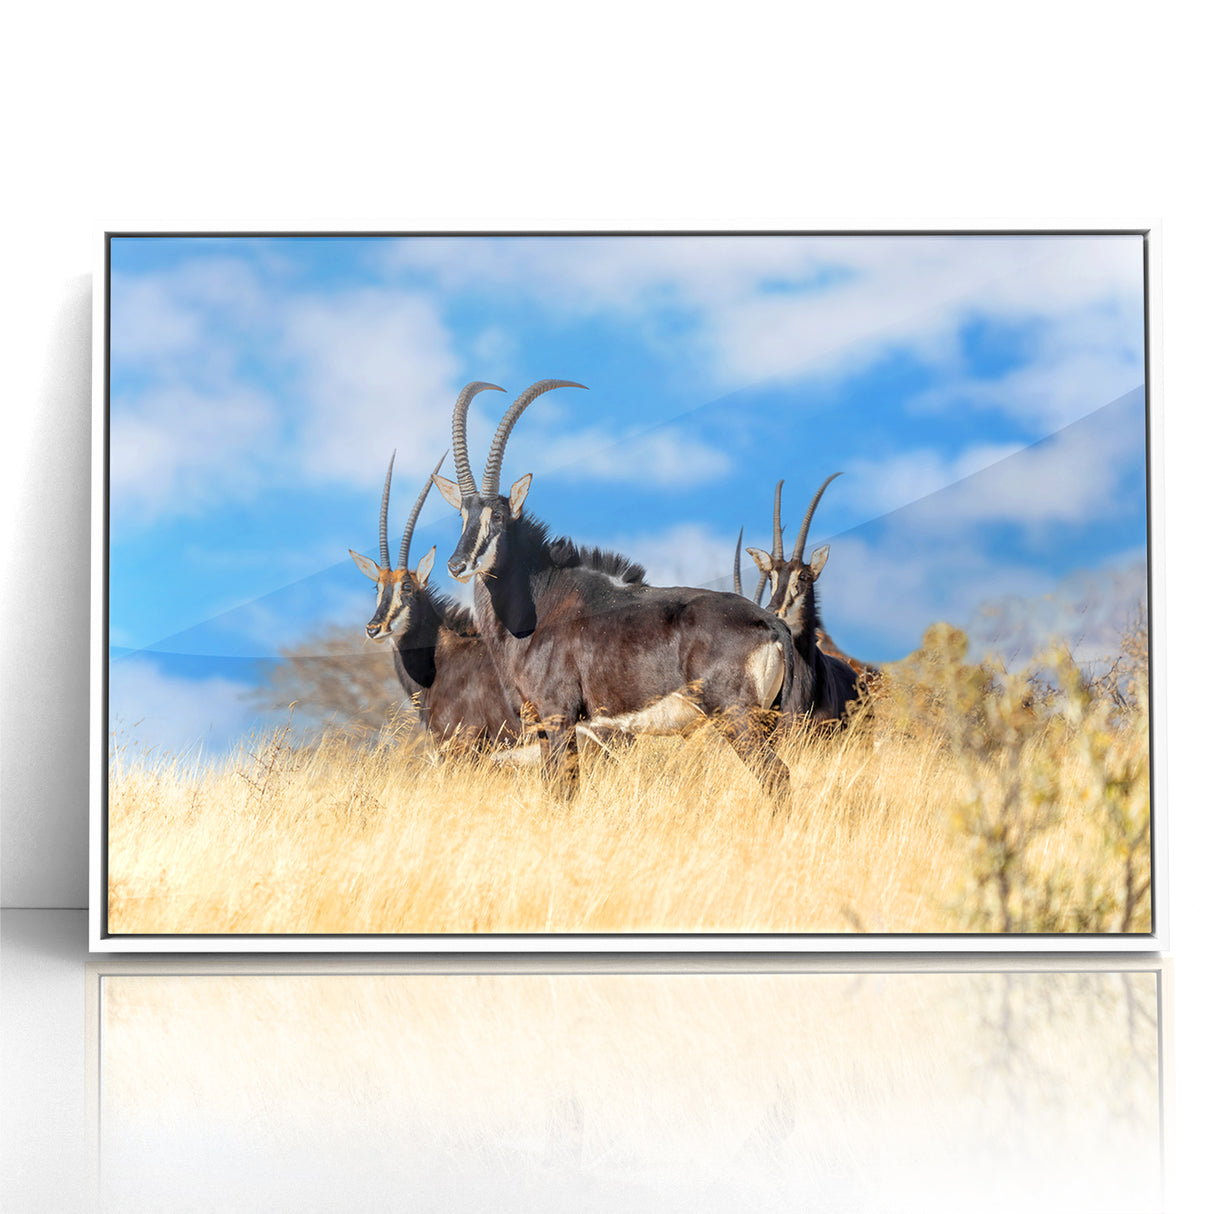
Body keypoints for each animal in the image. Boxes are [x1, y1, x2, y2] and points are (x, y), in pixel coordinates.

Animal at [432, 379, 797, 804]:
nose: (457, 565)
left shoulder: (558, 715)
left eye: (500, 517)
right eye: (463, 515)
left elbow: (564, 790)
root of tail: (769, 623)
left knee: (776, 776)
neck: (540, 604)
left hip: (737, 716)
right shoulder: (543, 725)